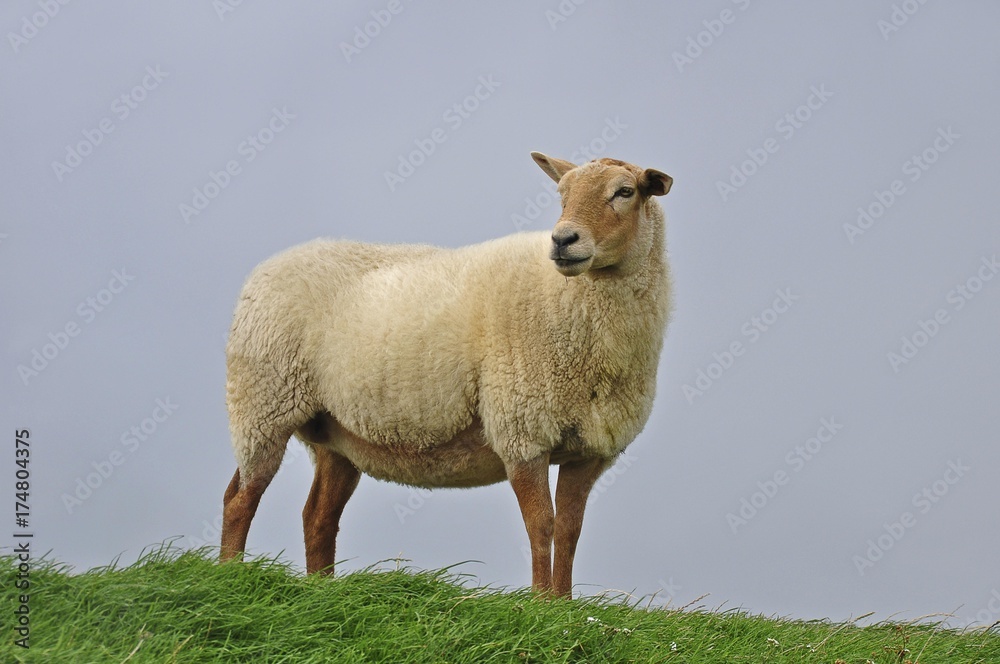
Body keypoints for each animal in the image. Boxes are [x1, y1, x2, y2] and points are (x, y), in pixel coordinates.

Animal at [220, 152, 674, 597]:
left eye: (625, 192)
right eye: (561, 193)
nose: (563, 240)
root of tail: (271, 265)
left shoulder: (588, 448)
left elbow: (569, 529)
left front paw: (563, 605)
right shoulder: (521, 429)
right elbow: (541, 524)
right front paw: (540, 603)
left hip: (336, 433)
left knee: (318, 516)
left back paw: (323, 592)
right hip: (263, 405)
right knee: (239, 498)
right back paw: (229, 577)